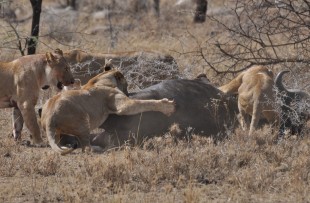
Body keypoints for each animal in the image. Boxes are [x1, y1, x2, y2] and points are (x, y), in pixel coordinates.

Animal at [40, 67, 176, 155]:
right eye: (126, 85)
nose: (128, 92)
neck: (100, 79)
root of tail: (50, 117)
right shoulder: (124, 105)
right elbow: (146, 103)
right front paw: (167, 106)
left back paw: (63, 146)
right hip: (83, 120)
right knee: (86, 148)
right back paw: (97, 148)